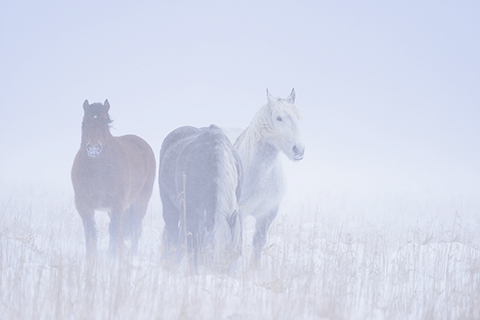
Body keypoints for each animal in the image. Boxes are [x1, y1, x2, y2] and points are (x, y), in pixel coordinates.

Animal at [71, 99, 156, 255]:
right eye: (85, 121)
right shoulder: (84, 206)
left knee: (135, 228)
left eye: (104, 122)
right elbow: (90, 234)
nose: (93, 149)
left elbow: (114, 233)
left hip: (140, 201)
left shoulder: (117, 205)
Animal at [160, 125, 244, 272]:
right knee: (172, 233)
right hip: (169, 205)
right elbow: (192, 246)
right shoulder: (191, 214)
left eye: (234, 255)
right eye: (210, 258)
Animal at [234, 88, 306, 264]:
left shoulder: (268, 214)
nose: (299, 150)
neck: (261, 176)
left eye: (297, 118)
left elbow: (258, 245)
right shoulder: (240, 213)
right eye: (278, 118)